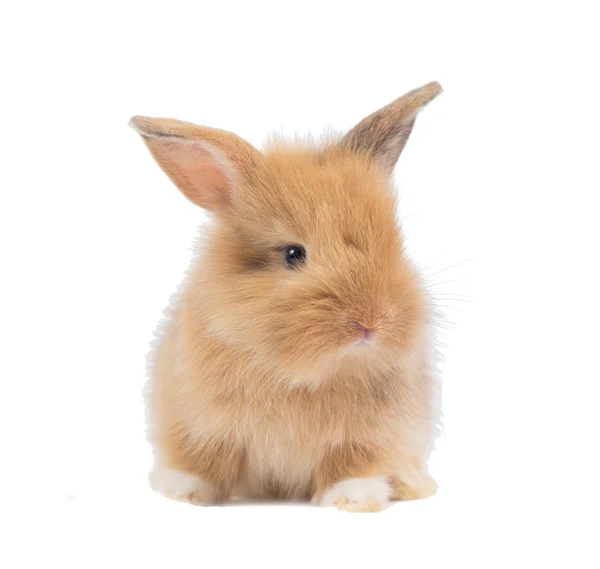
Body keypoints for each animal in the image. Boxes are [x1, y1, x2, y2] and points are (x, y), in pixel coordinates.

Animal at [129, 82, 442, 512]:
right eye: (294, 254)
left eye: (396, 247)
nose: (371, 322)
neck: (297, 376)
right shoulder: (194, 421)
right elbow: (201, 459)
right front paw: (183, 492)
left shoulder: (373, 435)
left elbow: (354, 464)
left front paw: (352, 498)